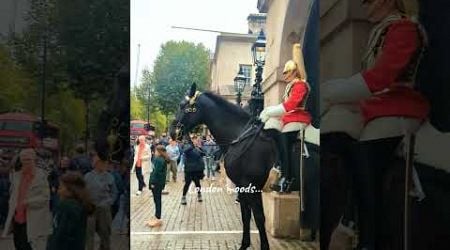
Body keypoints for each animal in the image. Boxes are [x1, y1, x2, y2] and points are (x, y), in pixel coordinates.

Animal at [169, 83, 274, 249]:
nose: (173, 132)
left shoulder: (252, 187)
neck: (240, 137)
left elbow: (258, 218)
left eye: (181, 105)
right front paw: (244, 244)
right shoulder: (242, 186)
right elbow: (246, 216)